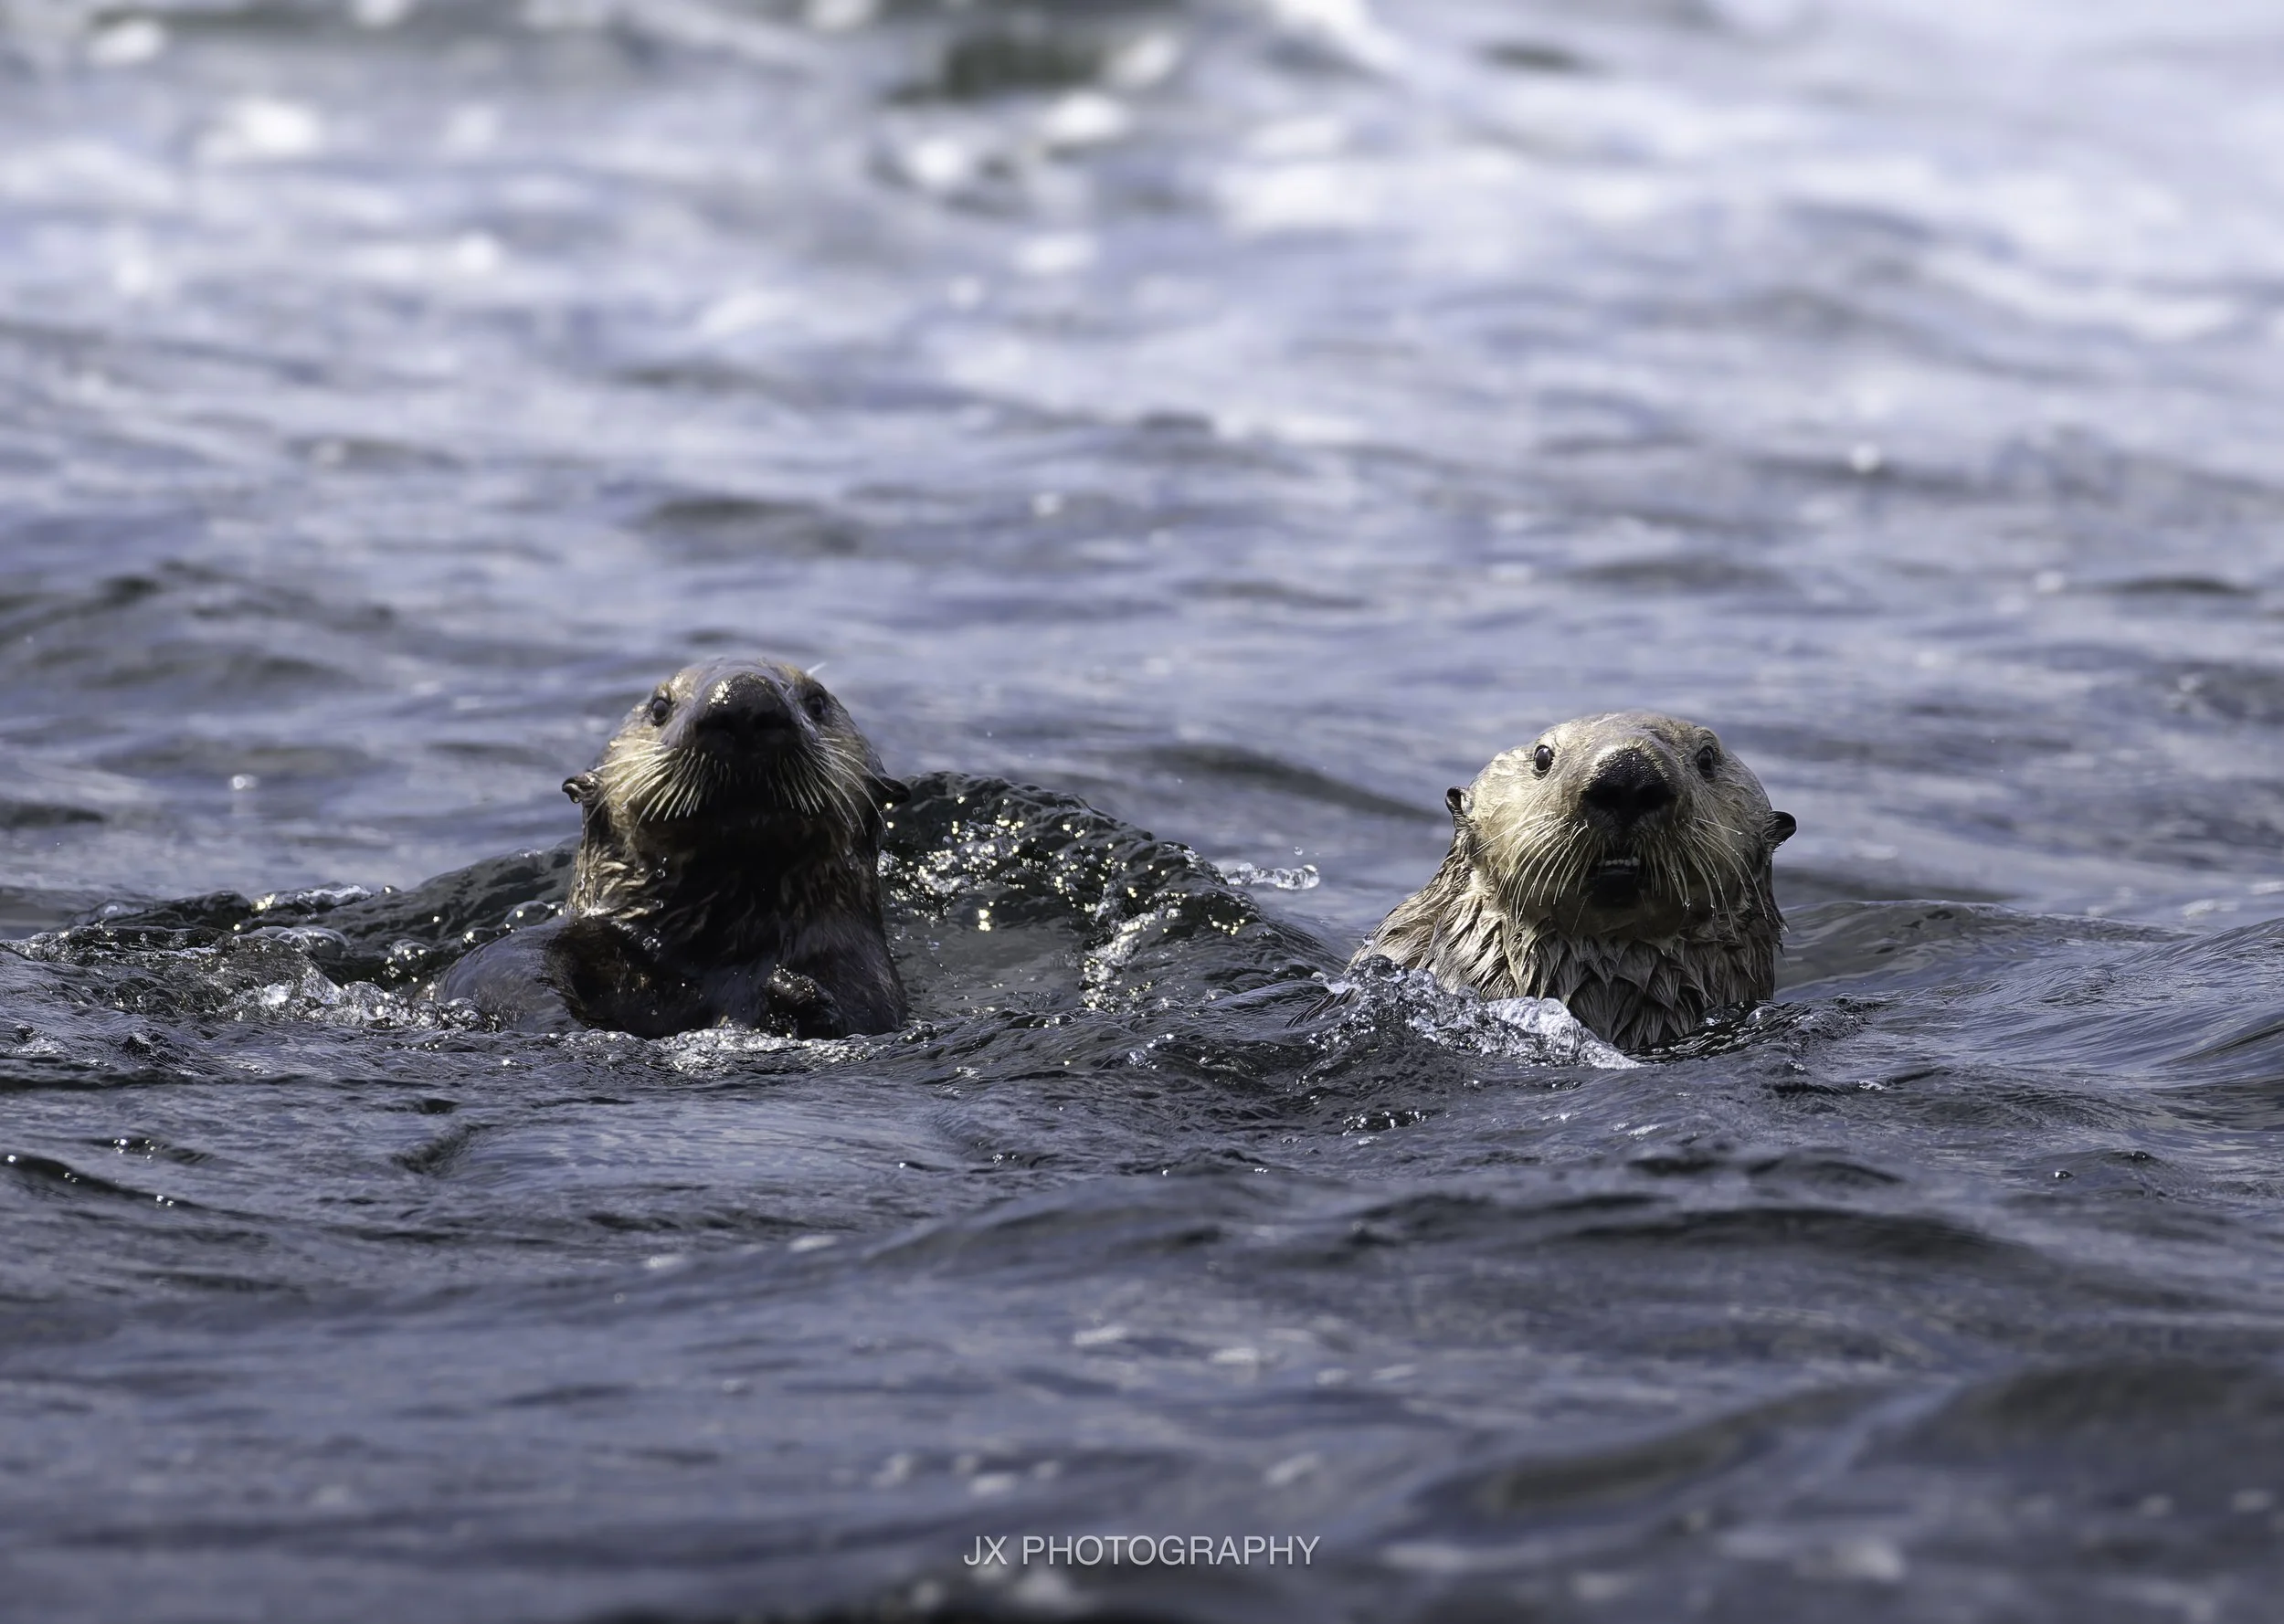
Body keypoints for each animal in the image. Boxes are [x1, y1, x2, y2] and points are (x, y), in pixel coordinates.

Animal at [434, 657, 907, 1039]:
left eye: (817, 702)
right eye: (660, 707)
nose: (743, 700)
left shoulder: (864, 980)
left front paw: (791, 994)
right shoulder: (531, 951)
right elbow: (501, 976)